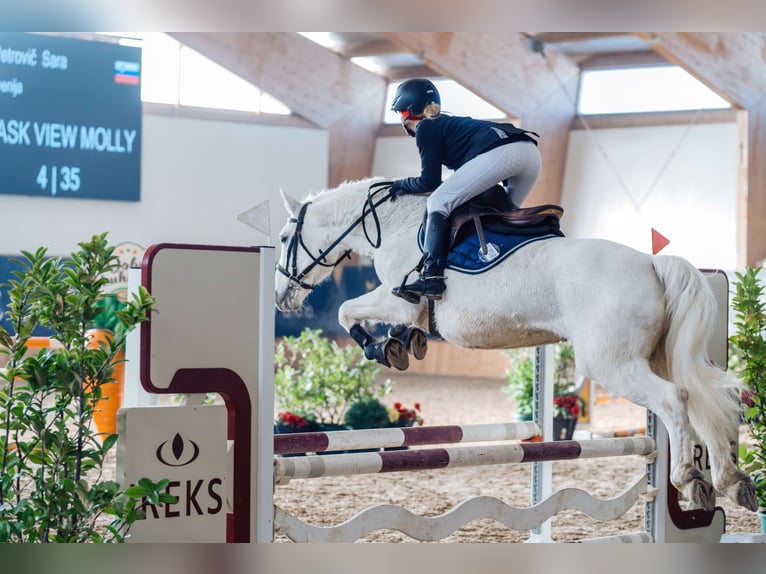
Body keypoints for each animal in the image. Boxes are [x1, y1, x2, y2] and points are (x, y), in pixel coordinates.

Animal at [274, 176, 757, 514]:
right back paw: (732, 480)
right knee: (704, 402)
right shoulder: (403, 308)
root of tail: (652, 262)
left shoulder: (397, 298)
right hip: (657, 356)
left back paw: (689, 479)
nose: (282, 297)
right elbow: (385, 323)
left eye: (281, 238)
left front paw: (380, 348)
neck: (394, 225)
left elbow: (346, 312)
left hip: (612, 363)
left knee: (675, 399)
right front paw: (401, 344)